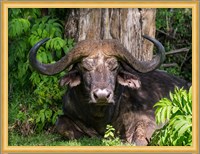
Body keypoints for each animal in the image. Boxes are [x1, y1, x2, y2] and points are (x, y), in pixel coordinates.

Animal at [29, 35, 189, 146]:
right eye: (85, 67)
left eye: (114, 67)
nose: (101, 95)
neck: (101, 116)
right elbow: (61, 123)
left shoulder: (150, 118)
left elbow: (139, 138)